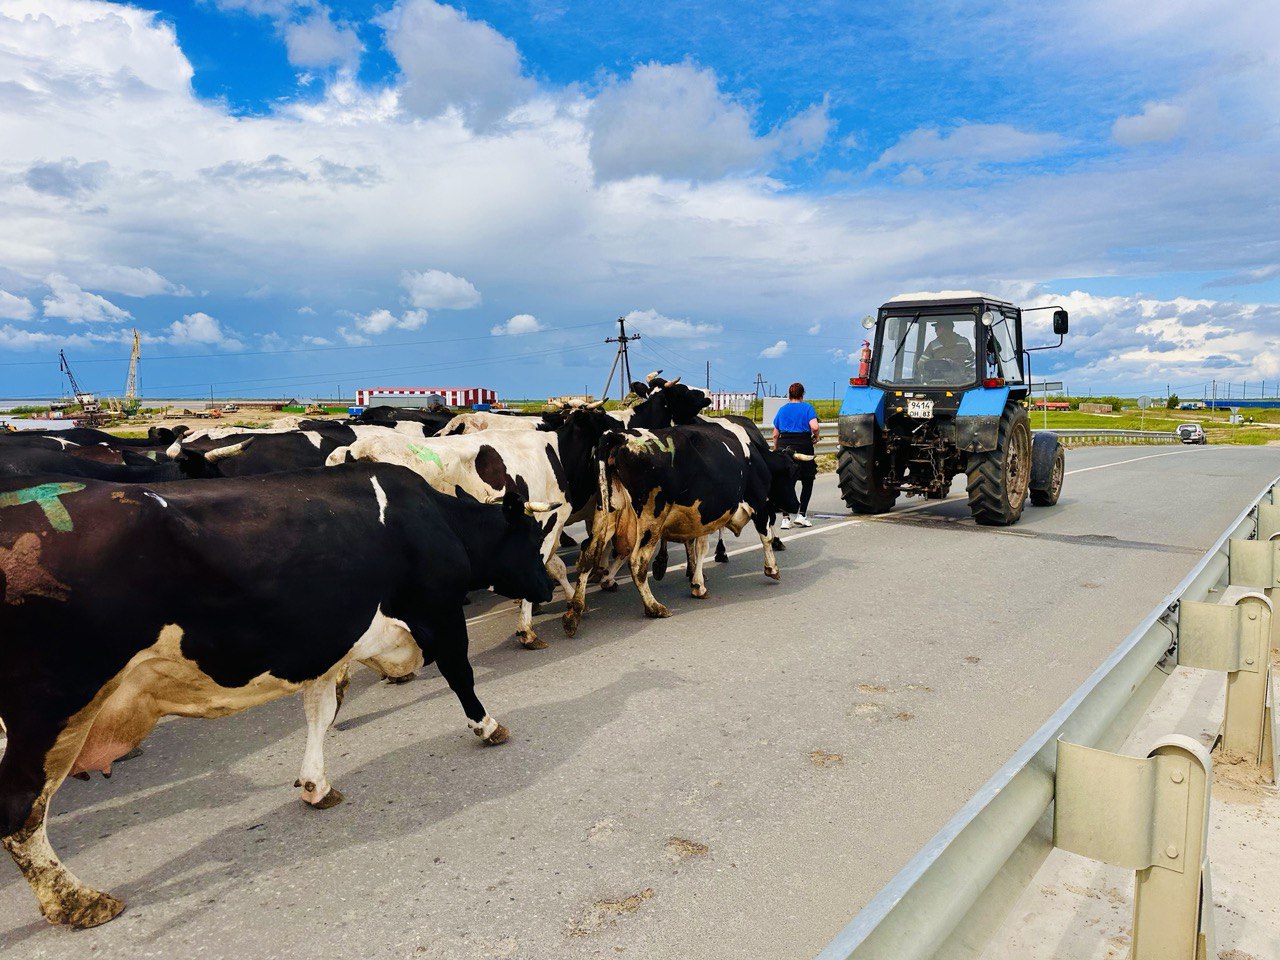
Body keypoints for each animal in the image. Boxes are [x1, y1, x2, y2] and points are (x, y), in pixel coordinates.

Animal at [0, 465, 555, 931]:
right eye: (532, 539)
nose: (548, 587)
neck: (437, 520)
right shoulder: (439, 613)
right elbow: (462, 676)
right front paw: (488, 727)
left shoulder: (327, 643)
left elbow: (321, 711)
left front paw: (315, 784)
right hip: (54, 706)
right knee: (21, 810)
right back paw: (78, 902)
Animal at [330, 401, 619, 650]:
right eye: (602, 420)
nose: (623, 427)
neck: (556, 452)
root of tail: (355, 451)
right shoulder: (548, 520)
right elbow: (550, 565)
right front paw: (532, 627)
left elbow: (553, 565)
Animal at [568, 419, 808, 632]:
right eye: (792, 472)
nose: (795, 504)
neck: (756, 457)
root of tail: (619, 436)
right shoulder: (758, 504)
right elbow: (766, 537)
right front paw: (772, 569)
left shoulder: (704, 516)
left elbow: (700, 548)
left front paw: (698, 585)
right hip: (650, 519)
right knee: (637, 562)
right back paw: (654, 607)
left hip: (607, 512)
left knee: (588, 555)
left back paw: (575, 611)